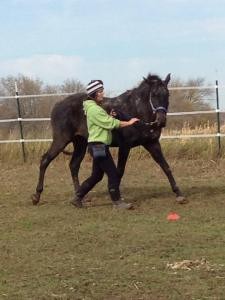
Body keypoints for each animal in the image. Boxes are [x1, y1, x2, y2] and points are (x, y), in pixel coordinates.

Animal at [31, 73, 186, 204]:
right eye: (153, 94)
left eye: (167, 94)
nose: (161, 121)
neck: (136, 111)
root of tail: (57, 105)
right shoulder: (125, 146)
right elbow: (119, 171)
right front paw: (117, 195)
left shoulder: (152, 143)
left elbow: (166, 167)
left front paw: (178, 194)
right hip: (61, 140)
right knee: (45, 160)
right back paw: (36, 196)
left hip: (80, 143)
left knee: (74, 165)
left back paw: (79, 196)